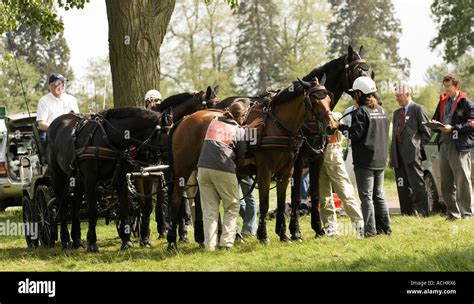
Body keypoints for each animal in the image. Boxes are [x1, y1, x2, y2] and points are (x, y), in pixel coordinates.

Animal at [48, 107, 163, 252]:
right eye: (165, 133)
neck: (108, 138)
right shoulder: (90, 179)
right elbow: (93, 211)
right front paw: (92, 243)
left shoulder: (121, 178)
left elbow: (124, 208)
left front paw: (126, 241)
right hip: (59, 176)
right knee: (62, 207)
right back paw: (65, 241)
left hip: (77, 178)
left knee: (75, 205)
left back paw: (77, 241)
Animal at [167, 76, 336, 249]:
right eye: (314, 101)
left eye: (329, 99)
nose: (332, 126)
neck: (277, 126)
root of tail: (184, 120)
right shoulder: (266, 170)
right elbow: (266, 203)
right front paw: (265, 235)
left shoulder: (287, 170)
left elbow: (283, 202)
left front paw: (284, 234)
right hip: (183, 169)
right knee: (176, 198)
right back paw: (173, 241)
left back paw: (212, 237)